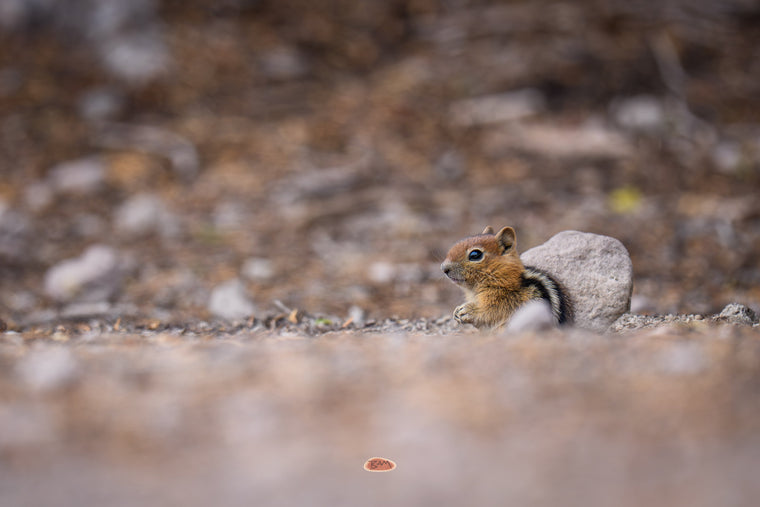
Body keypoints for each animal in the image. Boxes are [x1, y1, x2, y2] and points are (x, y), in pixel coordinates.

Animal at [441, 226, 573, 329]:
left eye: (475, 255)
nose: (444, 268)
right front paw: (457, 311)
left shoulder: (503, 302)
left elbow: (489, 312)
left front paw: (468, 310)